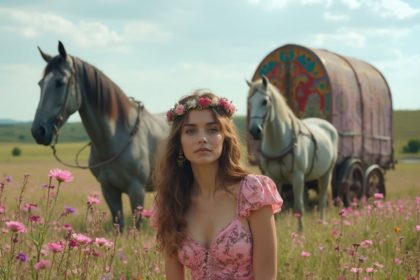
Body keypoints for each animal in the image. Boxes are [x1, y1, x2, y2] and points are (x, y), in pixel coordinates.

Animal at [31, 41, 169, 230]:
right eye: (40, 84)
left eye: (60, 82)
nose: (38, 131)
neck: (115, 138)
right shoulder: (108, 190)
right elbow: (119, 224)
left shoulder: (137, 190)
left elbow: (137, 227)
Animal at [246, 75, 338, 231]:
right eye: (249, 103)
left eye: (264, 101)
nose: (254, 131)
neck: (278, 141)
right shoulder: (274, 177)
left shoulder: (297, 177)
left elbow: (298, 207)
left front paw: (301, 233)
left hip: (327, 173)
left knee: (322, 199)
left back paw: (322, 222)